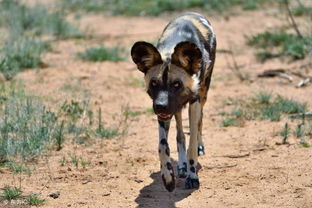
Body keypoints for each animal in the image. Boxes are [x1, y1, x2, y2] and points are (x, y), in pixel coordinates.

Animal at [130, 12, 216, 192]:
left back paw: (198, 150)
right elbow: (163, 146)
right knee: (180, 134)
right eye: (154, 84)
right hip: (175, 109)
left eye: (176, 84)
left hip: (202, 96)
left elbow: (192, 145)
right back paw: (182, 166)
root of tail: (192, 13)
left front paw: (193, 176)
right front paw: (168, 177)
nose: (160, 106)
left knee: (199, 124)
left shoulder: (194, 102)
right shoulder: (165, 113)